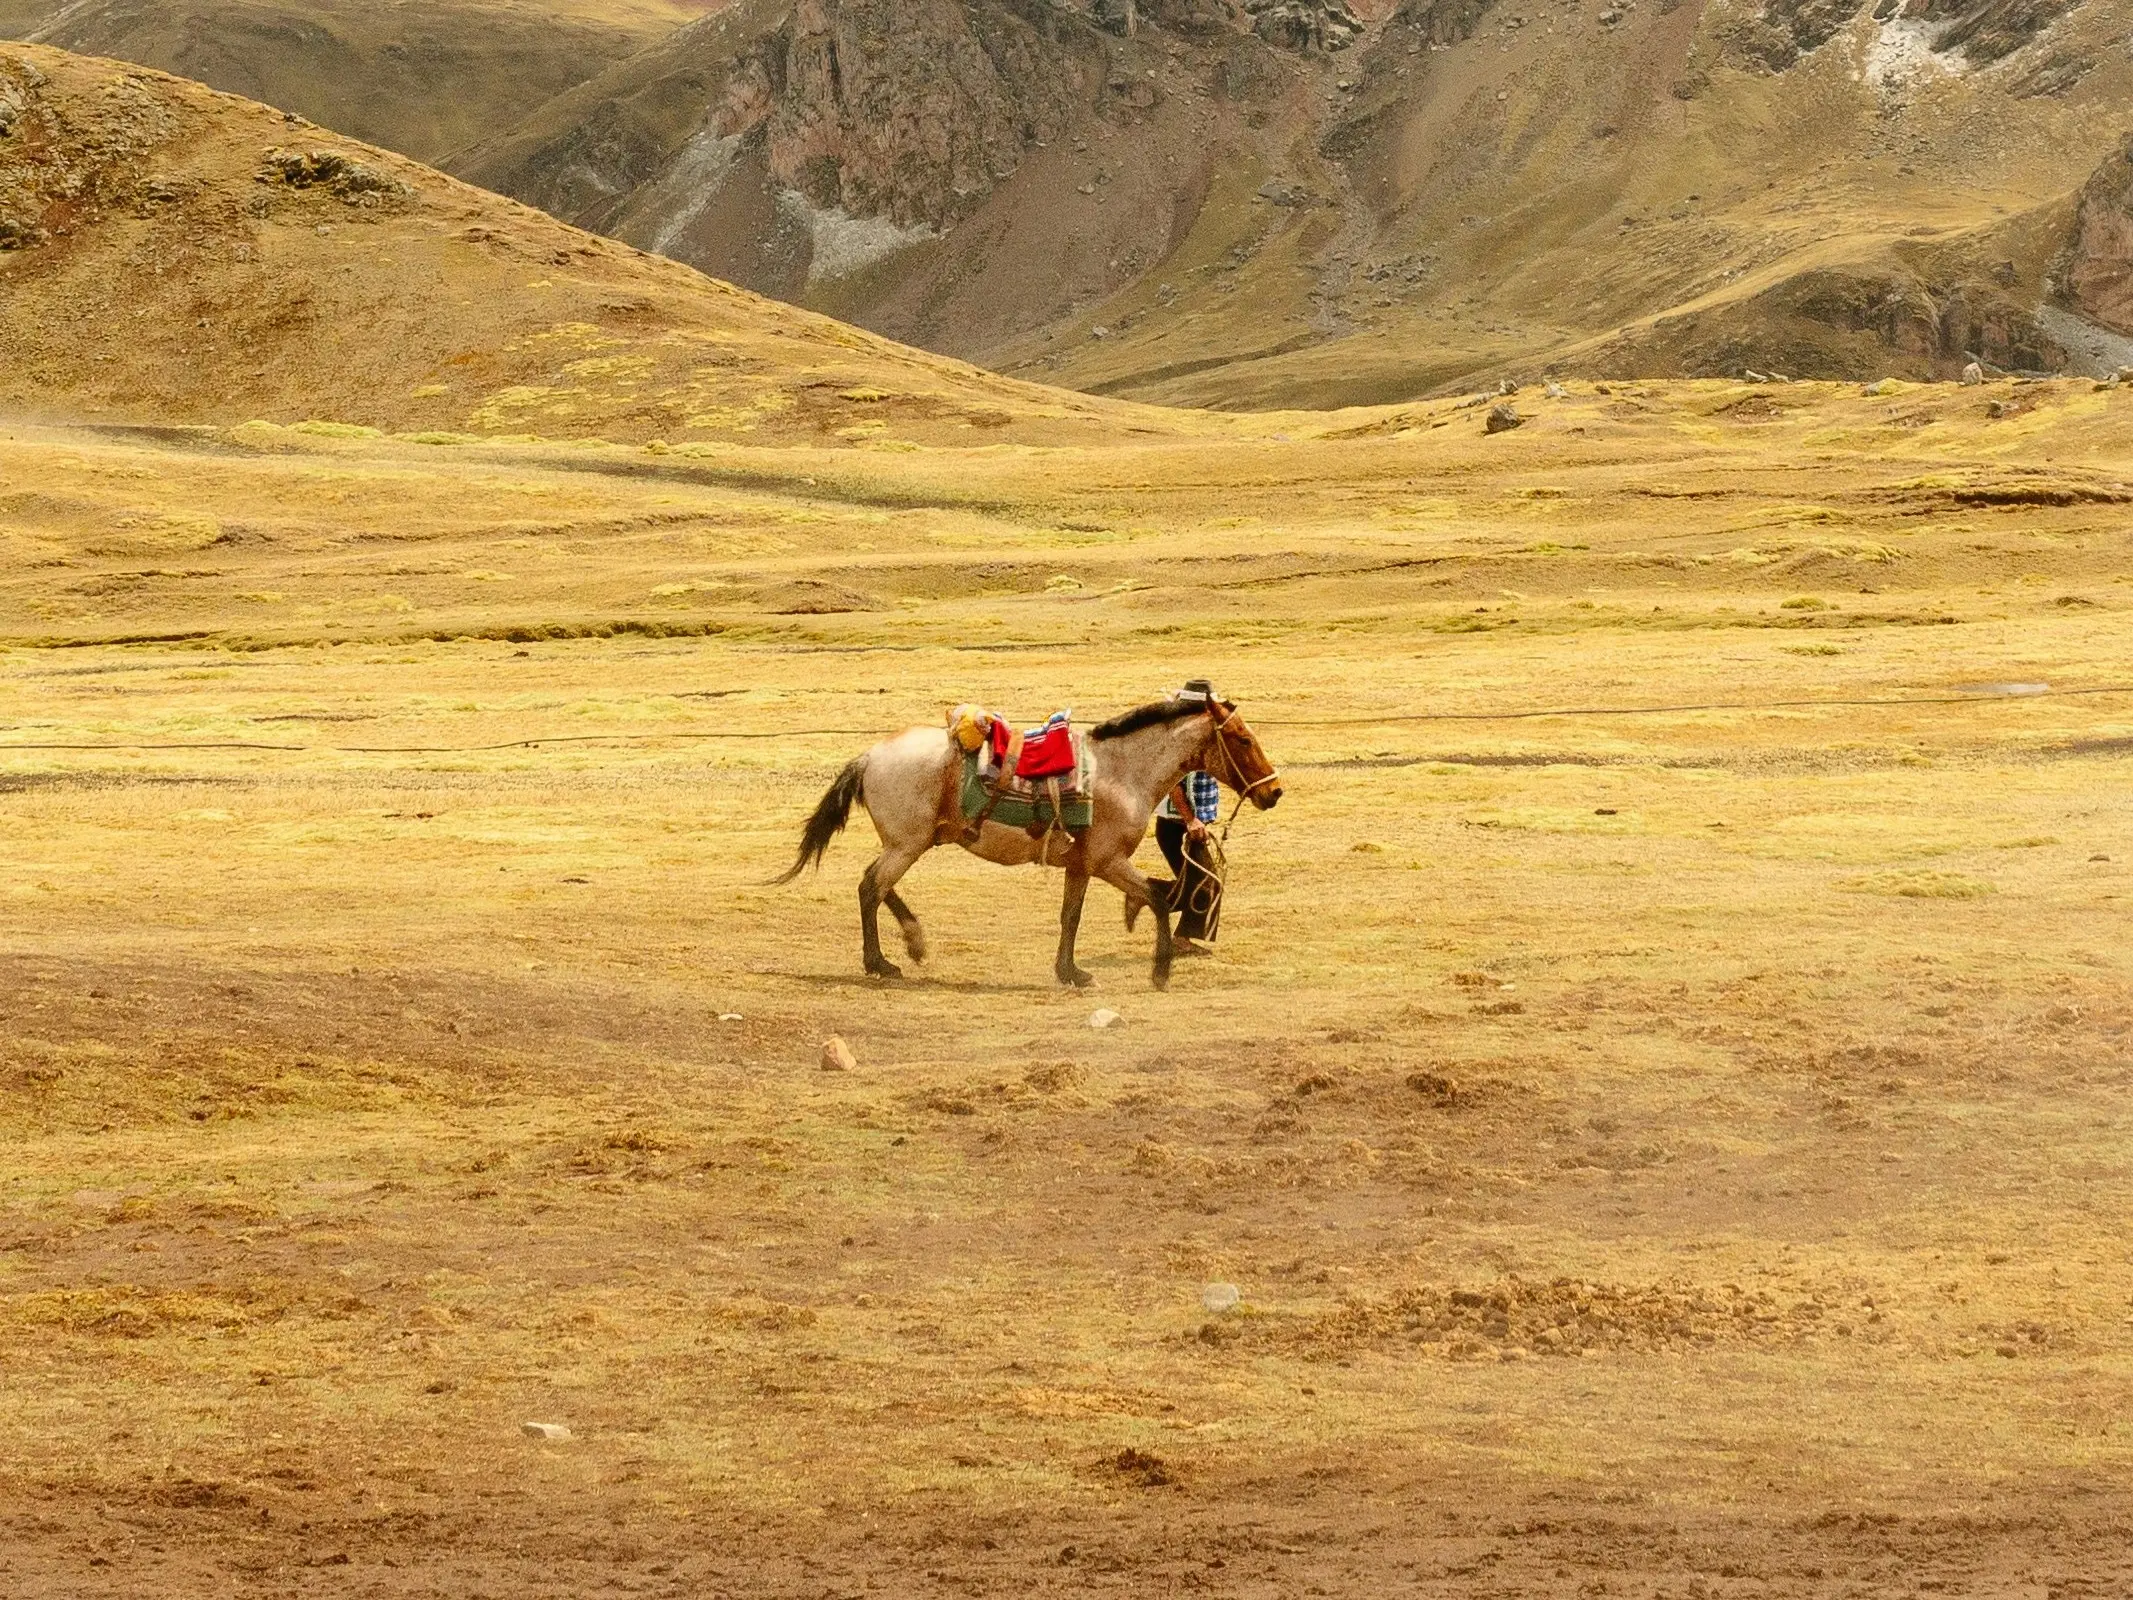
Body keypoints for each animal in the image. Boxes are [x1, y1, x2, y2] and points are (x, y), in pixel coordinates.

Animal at [784, 699, 1279, 989]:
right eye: (1242, 738)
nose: (1274, 792)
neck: (1123, 772)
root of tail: (869, 756)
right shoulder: (1107, 860)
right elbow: (1155, 896)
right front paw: (1159, 971)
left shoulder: (1081, 864)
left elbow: (1070, 916)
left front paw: (1070, 971)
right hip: (907, 845)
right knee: (871, 886)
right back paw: (881, 962)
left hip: (915, 842)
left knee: (878, 885)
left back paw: (913, 943)